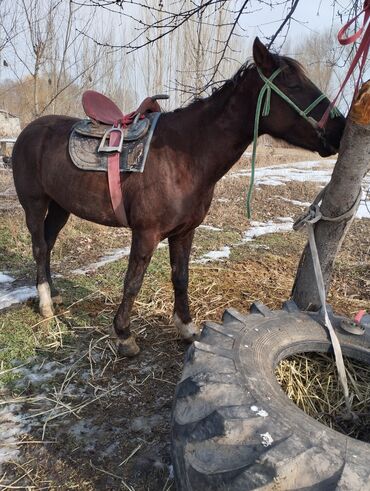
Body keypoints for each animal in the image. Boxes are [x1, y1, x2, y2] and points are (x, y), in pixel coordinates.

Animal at [12, 37, 346, 354]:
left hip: (60, 207)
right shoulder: (146, 233)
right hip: (34, 204)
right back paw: (45, 304)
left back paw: (51, 292)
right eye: (293, 84)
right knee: (39, 246)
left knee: (48, 243)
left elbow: (180, 277)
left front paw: (186, 328)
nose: (341, 129)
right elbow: (133, 282)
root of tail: (29, 131)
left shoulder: (184, 232)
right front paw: (124, 335)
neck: (184, 156)